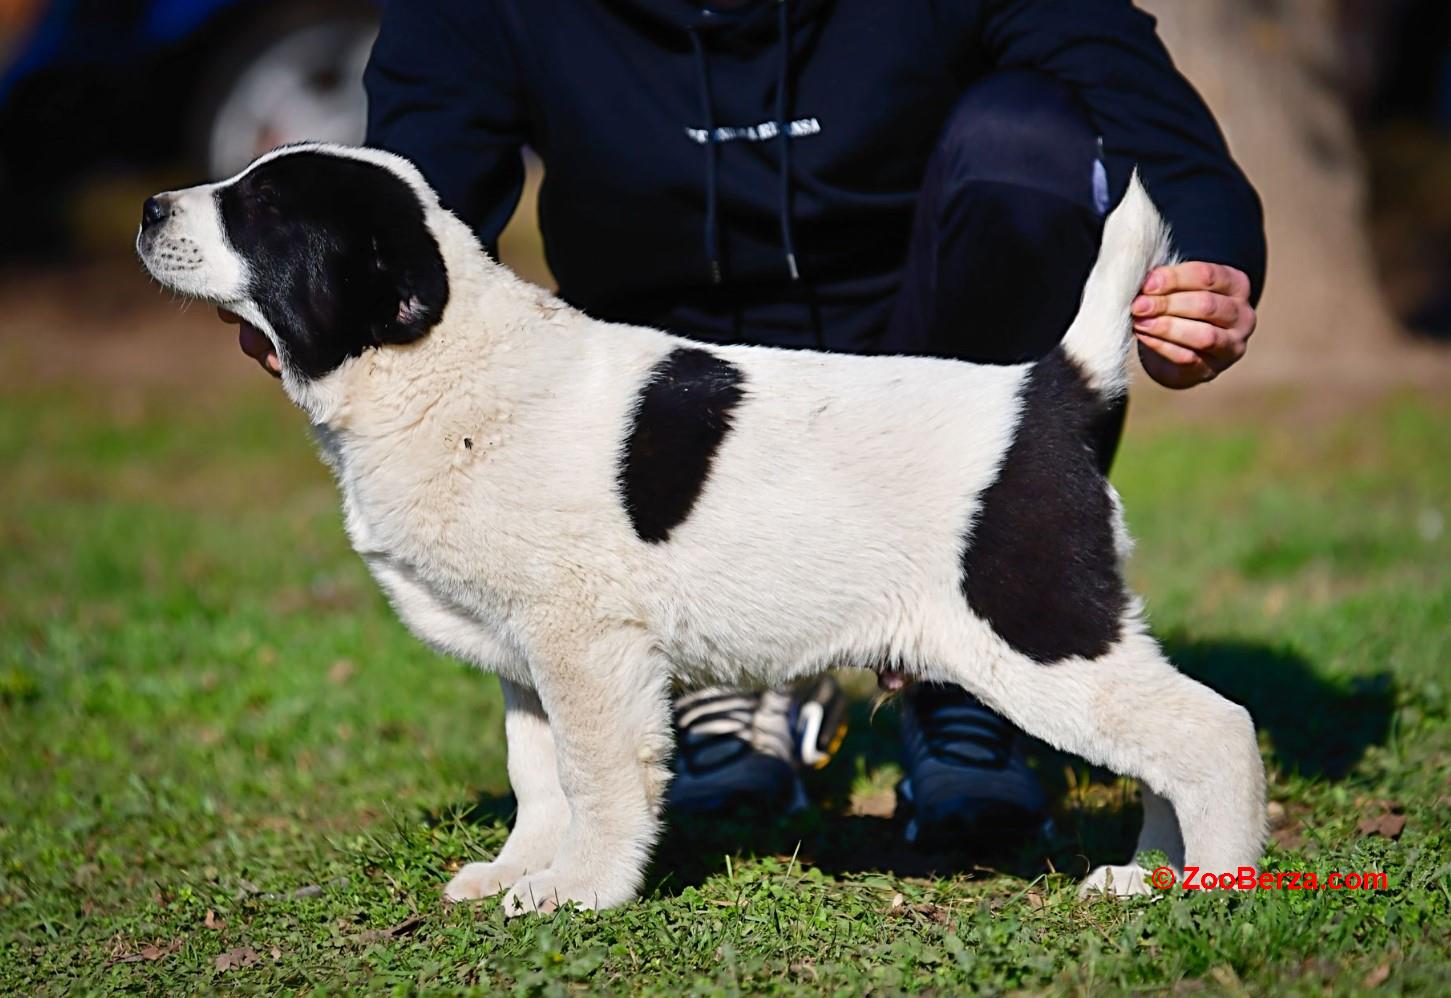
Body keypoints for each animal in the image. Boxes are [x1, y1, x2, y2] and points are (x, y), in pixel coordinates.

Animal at [138, 144, 1271, 916]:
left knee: (1212, 730)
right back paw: (1144, 874)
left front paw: (580, 890)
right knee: (1162, 744)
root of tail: (1051, 392)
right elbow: (537, 776)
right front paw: (518, 870)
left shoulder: (586, 648)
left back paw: (1215, 884)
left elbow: (596, 777)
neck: (440, 363)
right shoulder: (527, 659)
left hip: (1033, 633)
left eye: (263, 209)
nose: (149, 206)